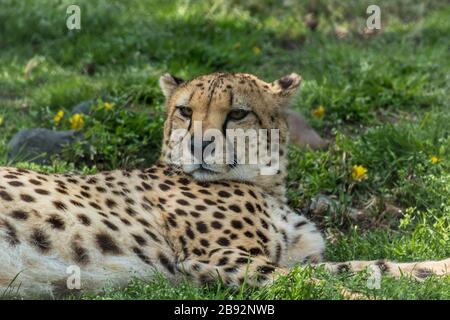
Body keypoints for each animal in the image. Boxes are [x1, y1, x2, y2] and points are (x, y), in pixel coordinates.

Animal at [0, 72, 450, 298]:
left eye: (237, 114)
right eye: (185, 111)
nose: (200, 143)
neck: (267, 185)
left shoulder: (284, 258)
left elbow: (367, 266)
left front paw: (437, 269)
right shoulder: (215, 261)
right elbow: (320, 284)